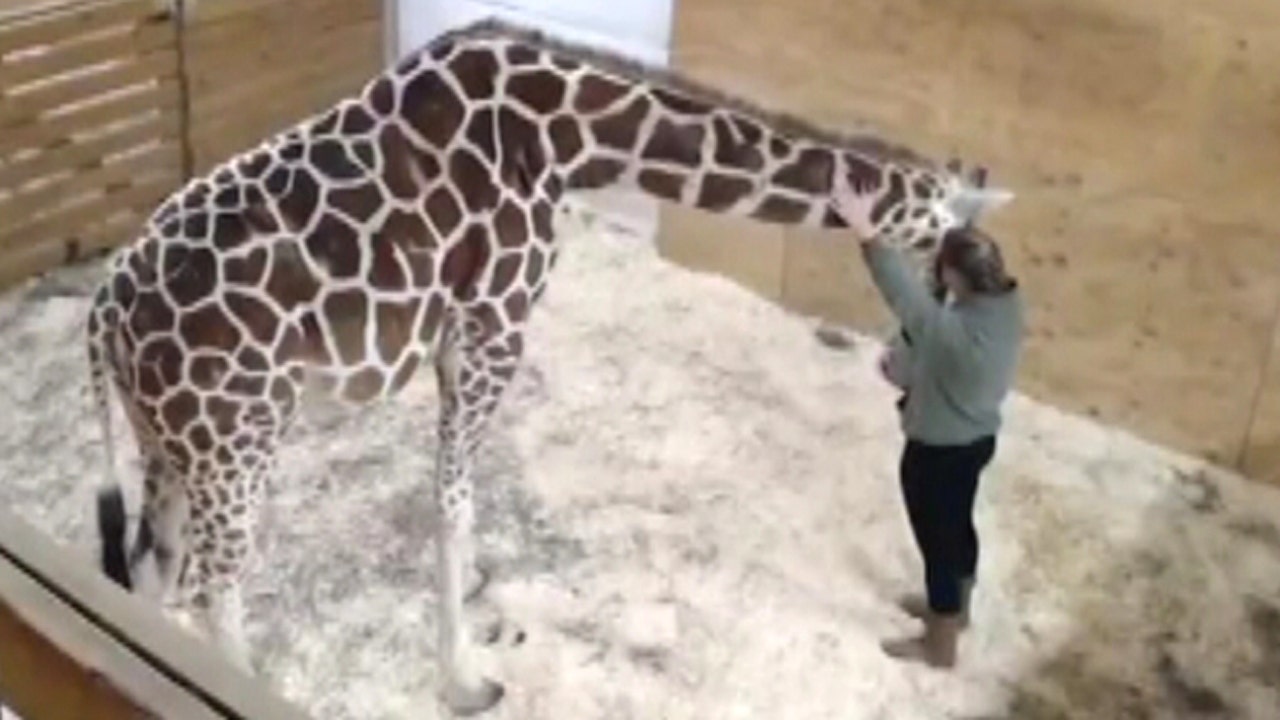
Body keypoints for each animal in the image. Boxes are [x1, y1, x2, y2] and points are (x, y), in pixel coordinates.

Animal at [87, 17, 1013, 715]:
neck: (570, 138)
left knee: (150, 568)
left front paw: (474, 617)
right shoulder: (493, 324)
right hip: (235, 444)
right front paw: (466, 681)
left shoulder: (459, 337)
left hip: (169, 441)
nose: (963, 285)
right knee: (213, 587)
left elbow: (457, 499)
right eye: (943, 232)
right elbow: (452, 504)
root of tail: (101, 315)